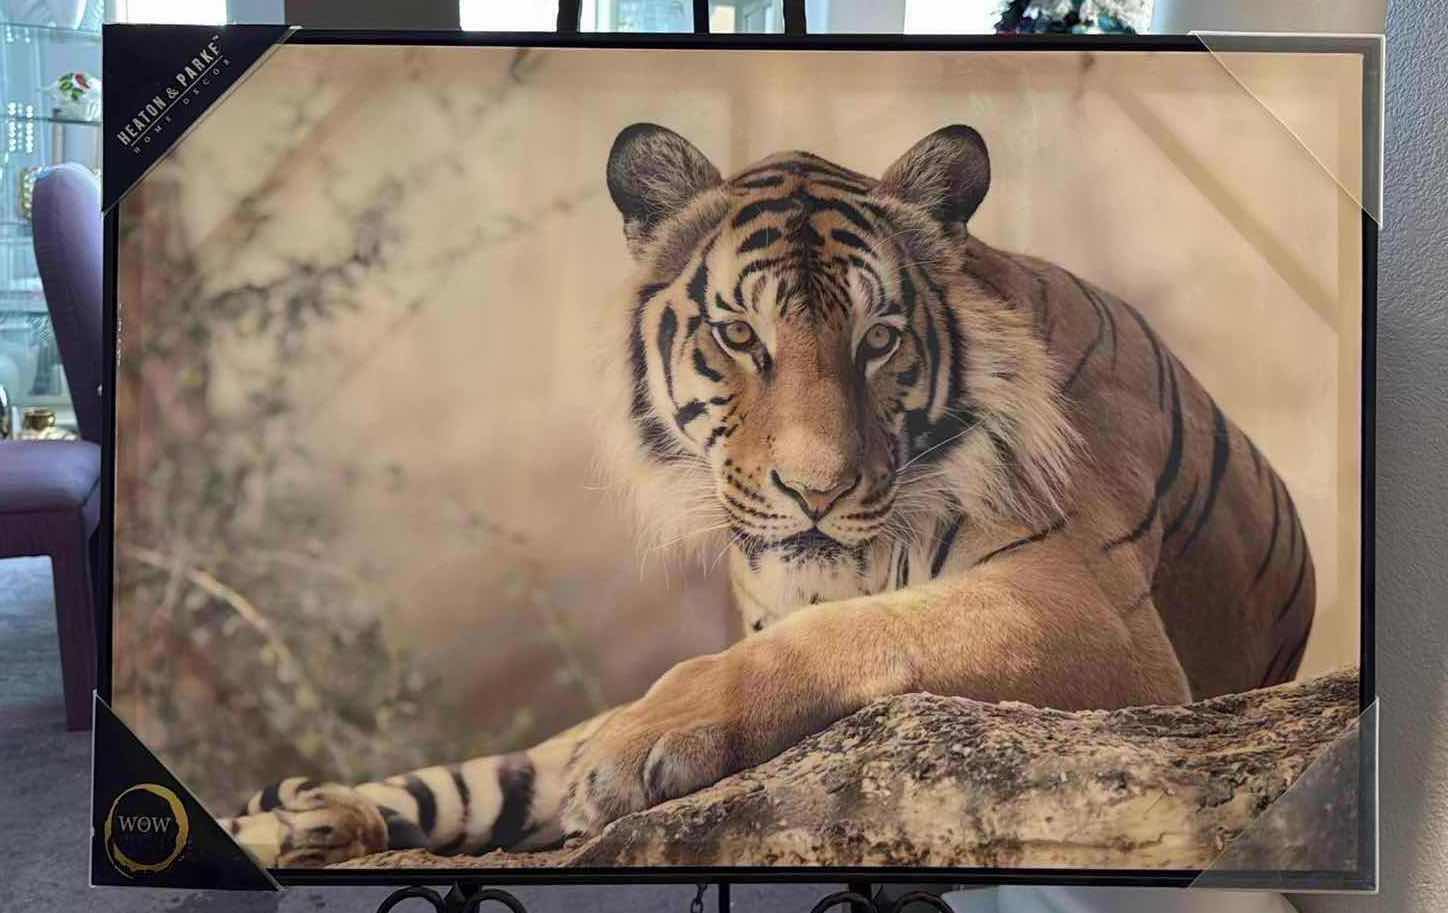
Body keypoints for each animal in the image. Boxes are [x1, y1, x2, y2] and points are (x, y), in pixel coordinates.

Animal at [223, 123, 1315, 867]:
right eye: (738, 335)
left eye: (880, 338)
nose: (815, 490)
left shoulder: (1094, 615)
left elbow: (853, 633)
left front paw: (642, 749)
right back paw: (295, 818)